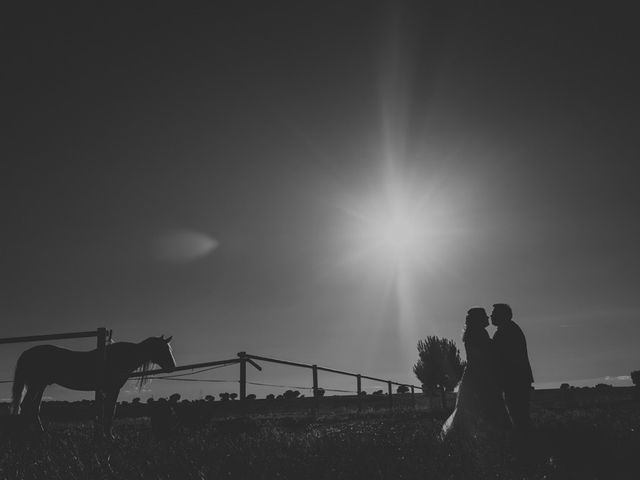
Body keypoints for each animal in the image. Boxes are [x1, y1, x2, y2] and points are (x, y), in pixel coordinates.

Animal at [11, 336, 175, 436]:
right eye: (163, 349)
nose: (172, 367)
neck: (120, 357)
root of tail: (27, 353)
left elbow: (106, 411)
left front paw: (104, 434)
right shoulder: (113, 389)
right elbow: (109, 411)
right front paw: (109, 436)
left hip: (40, 385)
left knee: (33, 408)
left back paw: (42, 433)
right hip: (36, 385)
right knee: (26, 406)